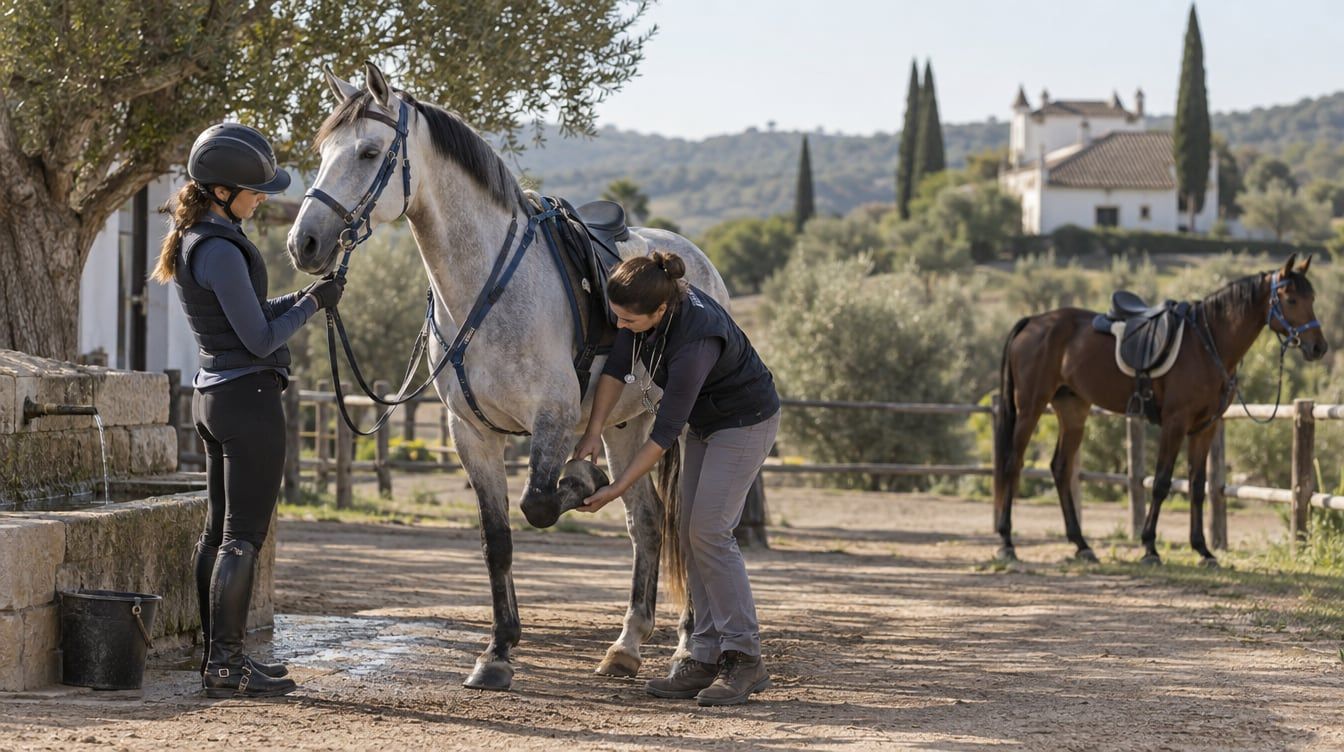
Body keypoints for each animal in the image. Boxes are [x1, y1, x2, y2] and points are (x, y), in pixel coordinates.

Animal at [286, 62, 724, 690]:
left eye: (369, 152)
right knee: (645, 524)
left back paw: (686, 645)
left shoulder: (553, 420)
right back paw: (626, 646)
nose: (305, 243)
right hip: (627, 427)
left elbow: (540, 504)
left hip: (686, 428)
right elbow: (497, 539)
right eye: (322, 152)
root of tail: (691, 261)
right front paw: (497, 651)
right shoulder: (470, 434)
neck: (487, 288)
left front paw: (581, 482)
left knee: (683, 526)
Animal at [993, 255, 1327, 567]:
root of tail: (1033, 322)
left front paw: (1203, 550)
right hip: (1030, 407)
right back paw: (1006, 543)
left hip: (1073, 410)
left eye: (1312, 298)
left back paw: (1082, 545)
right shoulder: (1175, 423)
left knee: (1060, 468)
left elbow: (1197, 486)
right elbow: (1161, 483)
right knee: (1012, 463)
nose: (1319, 348)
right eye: (1291, 299)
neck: (1208, 344)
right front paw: (1150, 547)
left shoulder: (1205, 428)